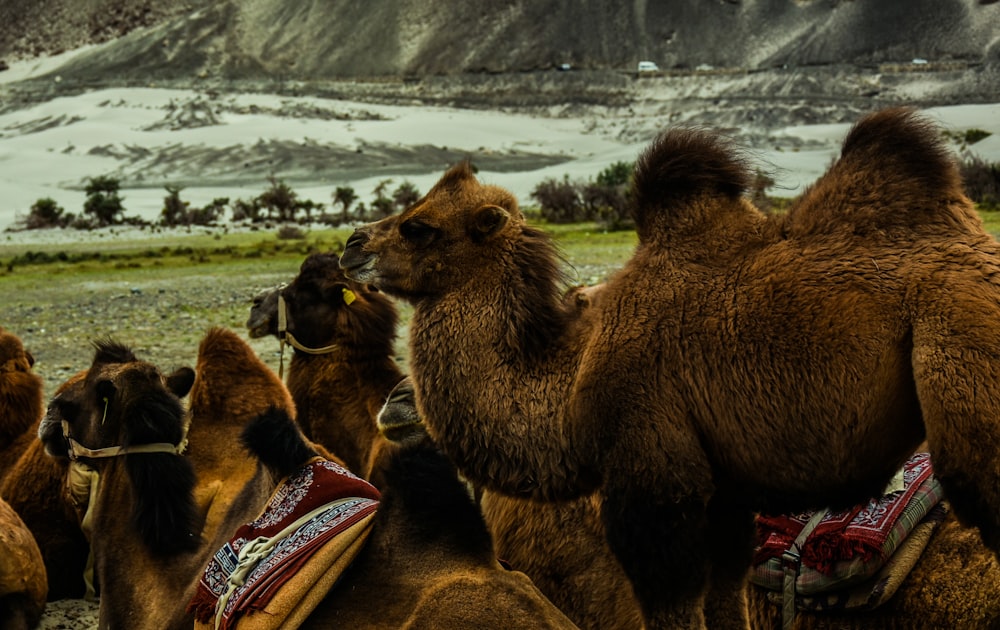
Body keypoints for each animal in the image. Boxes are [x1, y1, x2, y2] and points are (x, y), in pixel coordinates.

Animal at [340, 106, 1000, 628]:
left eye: (419, 227)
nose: (351, 244)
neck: (569, 389)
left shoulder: (652, 475)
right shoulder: (726, 495)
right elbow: (725, 597)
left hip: (962, 358)